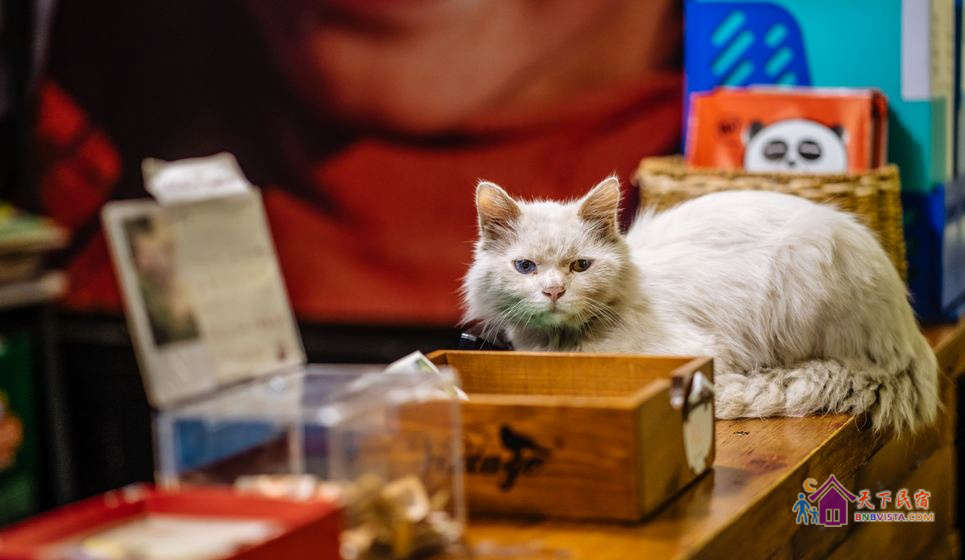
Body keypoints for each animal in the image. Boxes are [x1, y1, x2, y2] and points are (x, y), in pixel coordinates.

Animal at [462, 176, 939, 433]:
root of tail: (910, 336)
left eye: (580, 266)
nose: (554, 291)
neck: (559, 346)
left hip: (801, 272)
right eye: (525, 267)